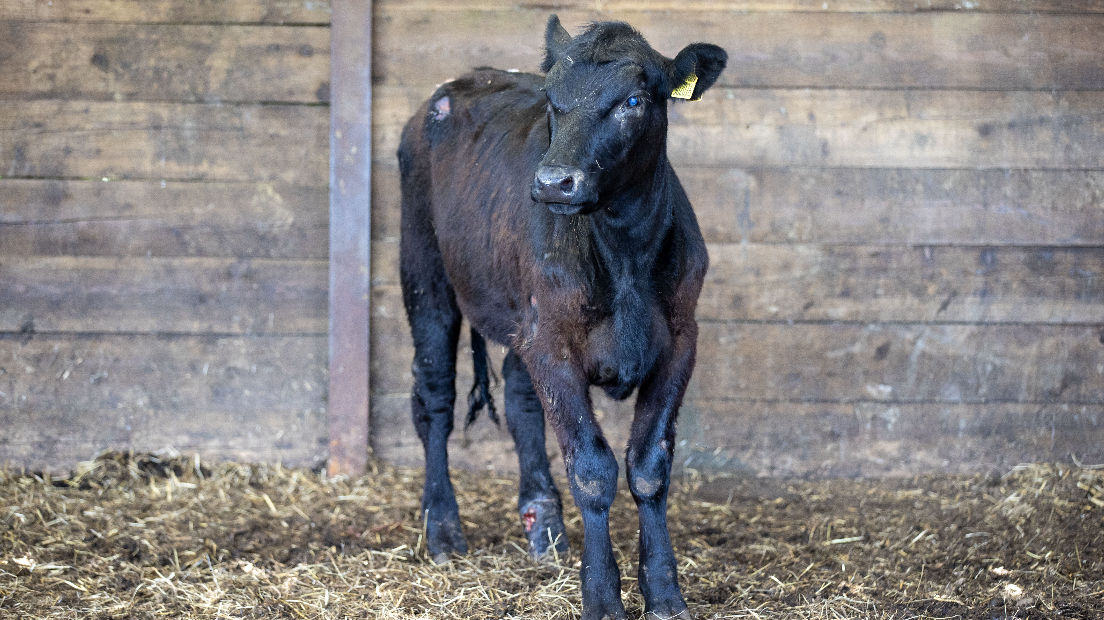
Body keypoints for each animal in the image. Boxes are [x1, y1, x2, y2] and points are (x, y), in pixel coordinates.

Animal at [397, 14, 724, 617]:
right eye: (553, 100)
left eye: (633, 100)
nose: (554, 182)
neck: (624, 251)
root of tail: (458, 84)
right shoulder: (555, 346)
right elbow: (593, 470)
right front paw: (602, 596)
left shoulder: (680, 340)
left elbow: (649, 465)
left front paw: (664, 591)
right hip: (424, 271)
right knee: (433, 399)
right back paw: (444, 530)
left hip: (522, 315)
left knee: (522, 402)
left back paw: (544, 528)